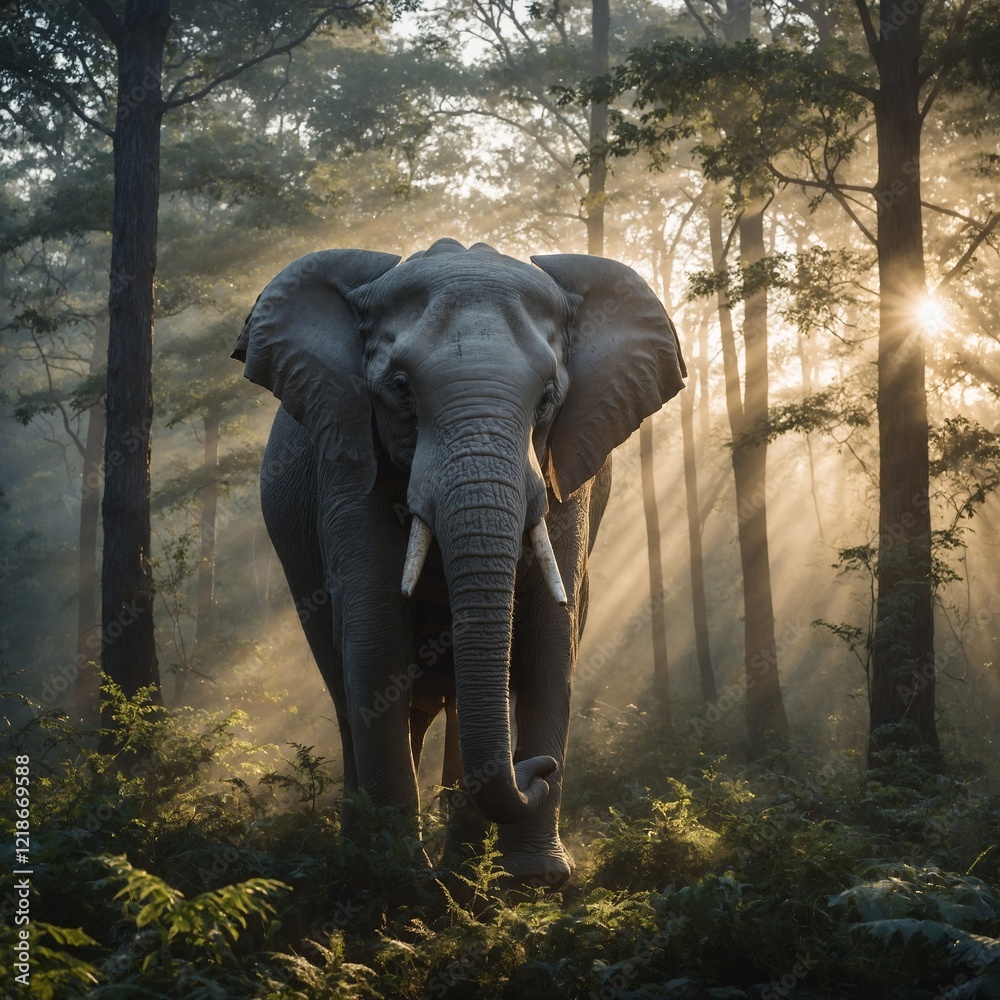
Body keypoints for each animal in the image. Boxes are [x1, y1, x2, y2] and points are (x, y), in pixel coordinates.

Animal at [232, 237, 685, 886]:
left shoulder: (567, 471)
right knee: (351, 687)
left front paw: (533, 881)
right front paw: (396, 877)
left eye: (548, 397)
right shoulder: (346, 458)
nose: (537, 769)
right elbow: (375, 636)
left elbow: (550, 637)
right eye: (399, 388)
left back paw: (464, 865)